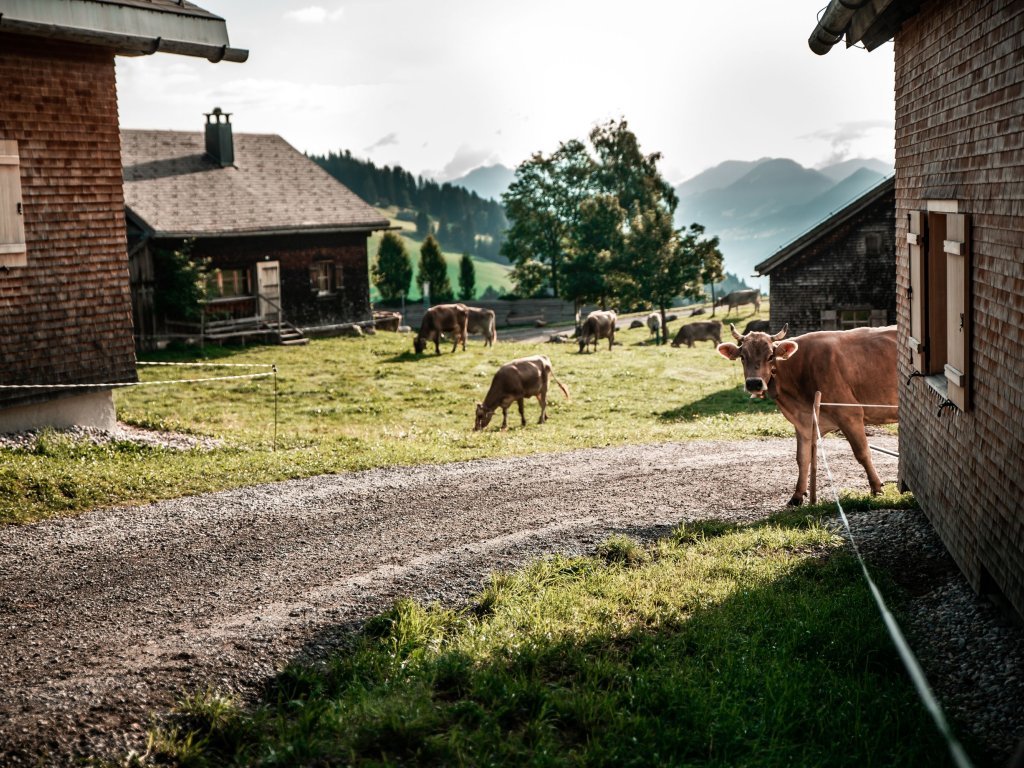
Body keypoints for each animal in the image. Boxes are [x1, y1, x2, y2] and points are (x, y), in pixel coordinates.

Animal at [720, 323, 897, 507]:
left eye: (770, 356)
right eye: (742, 356)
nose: (754, 383)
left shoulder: (849, 414)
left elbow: (862, 453)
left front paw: (876, 487)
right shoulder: (803, 421)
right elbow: (802, 458)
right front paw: (797, 495)